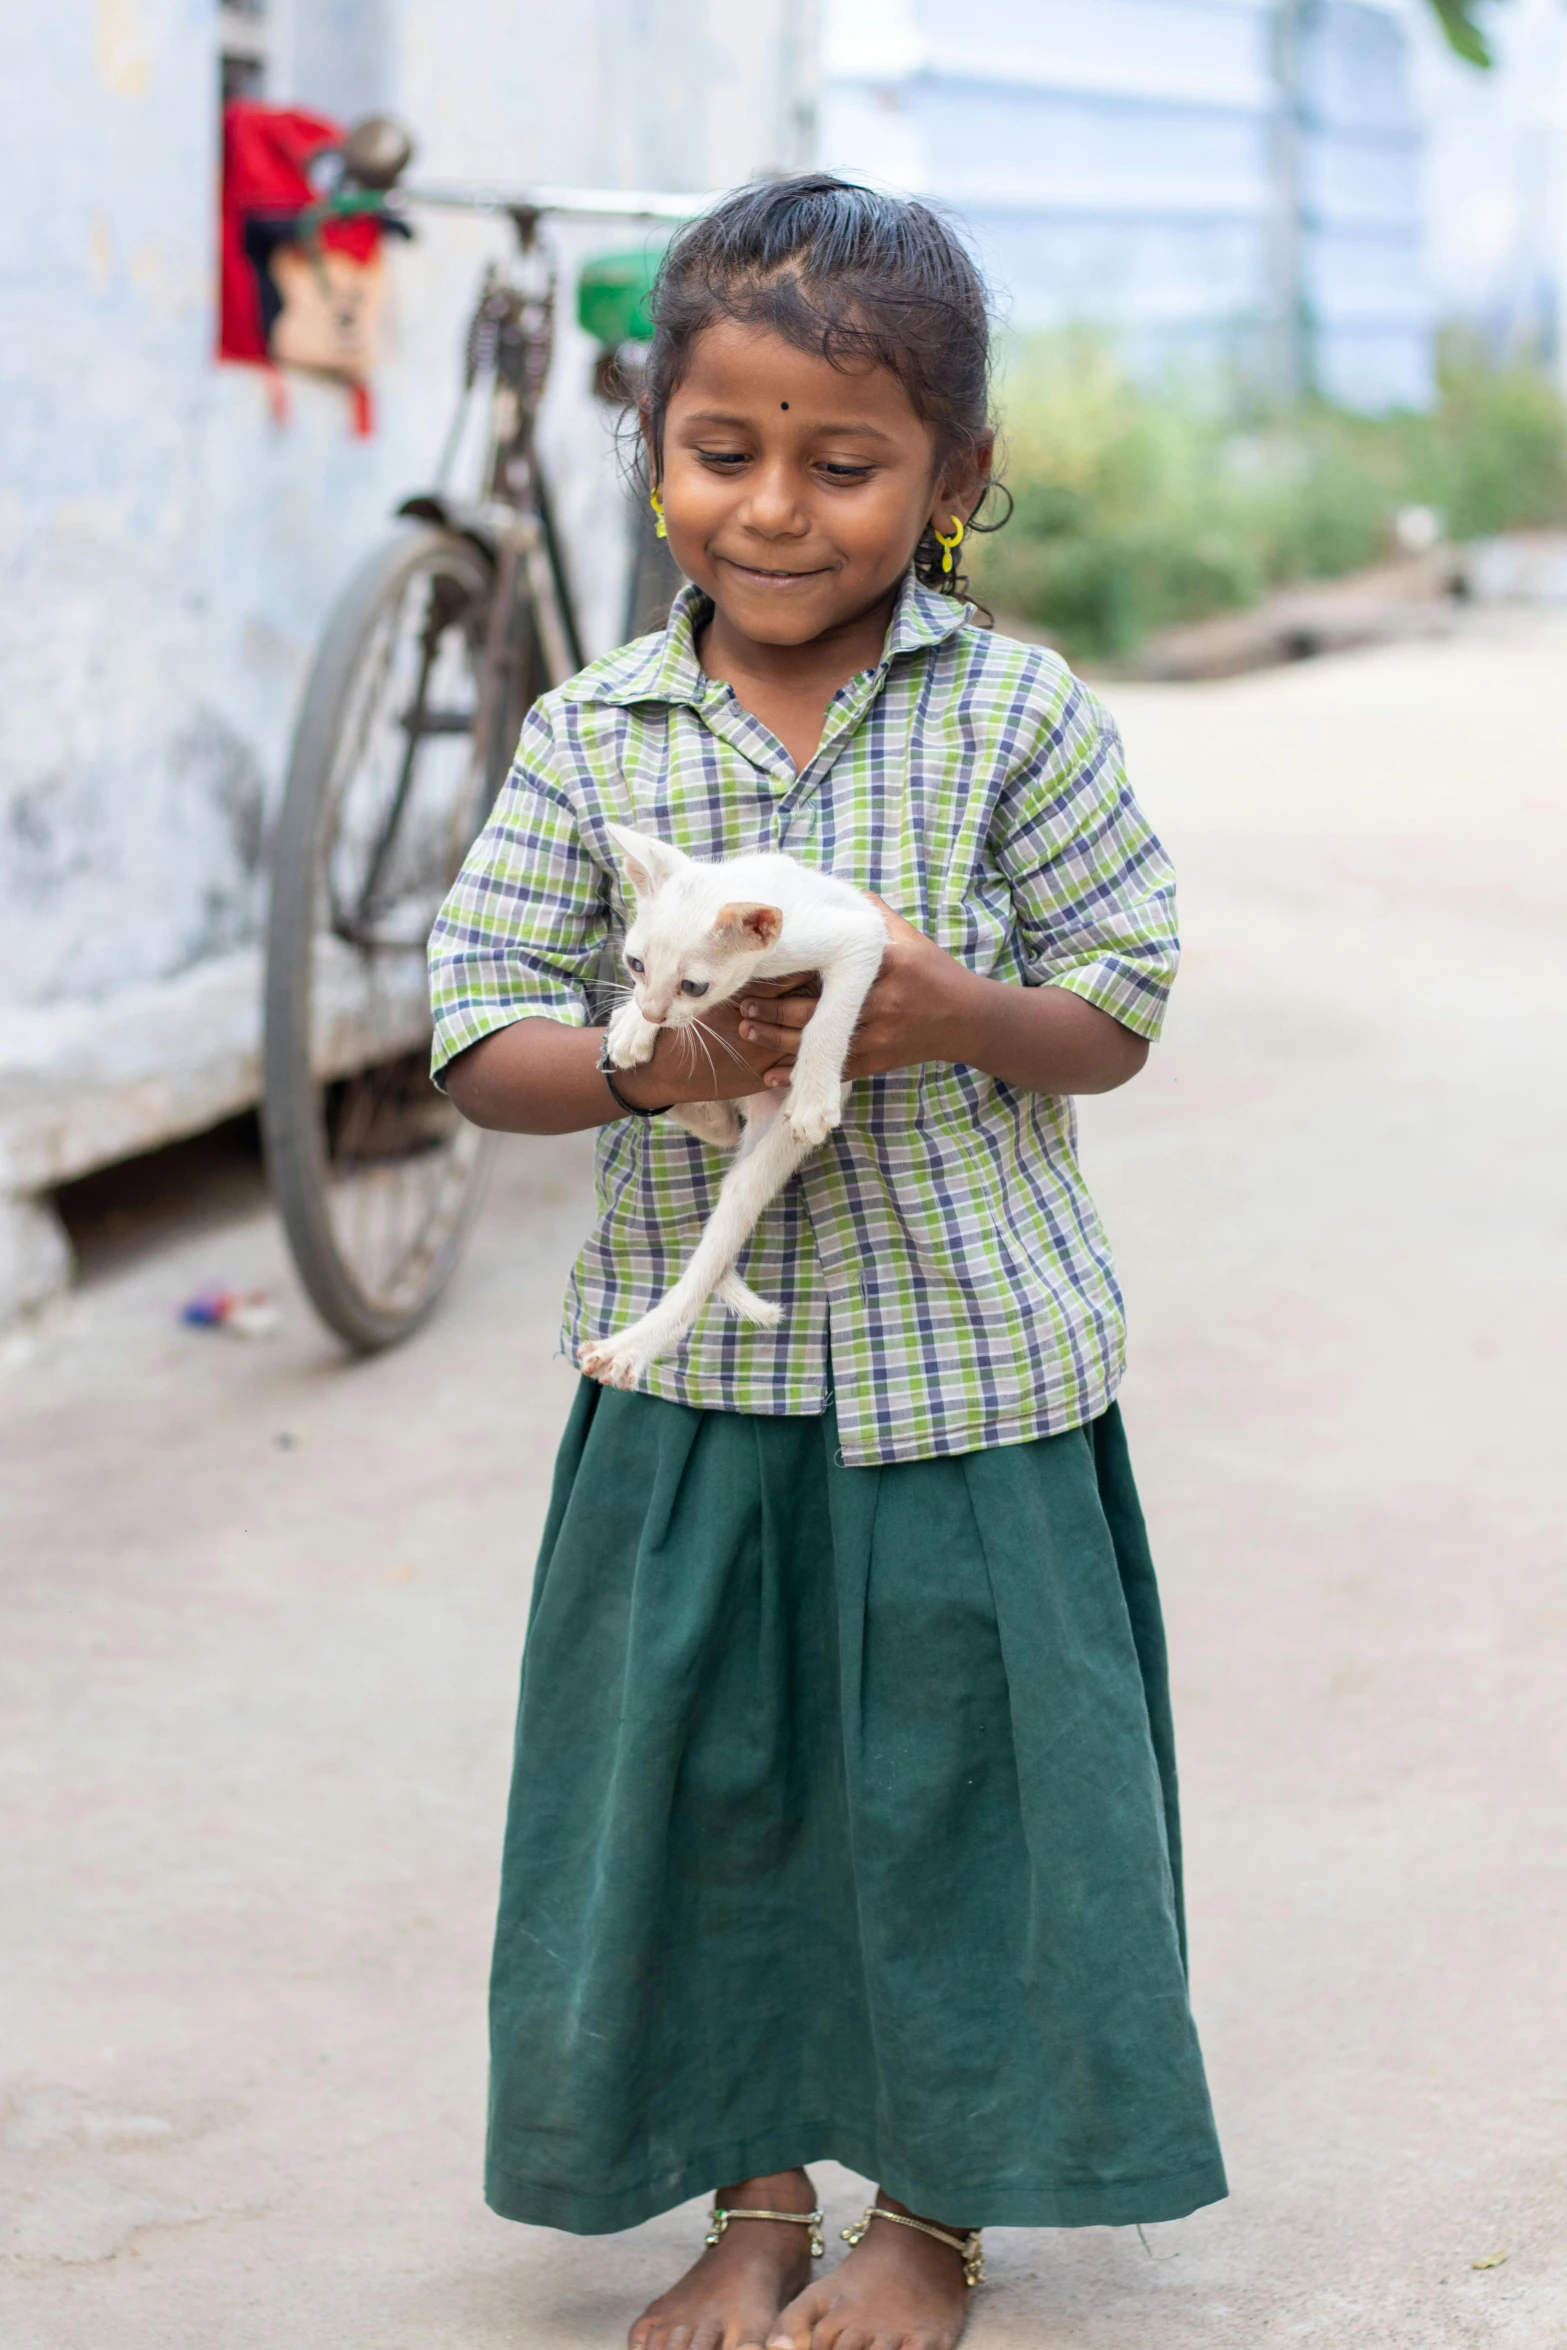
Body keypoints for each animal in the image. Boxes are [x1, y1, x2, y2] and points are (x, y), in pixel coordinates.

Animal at [582, 822, 888, 1381]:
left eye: (693, 985)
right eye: (636, 964)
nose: (654, 1014)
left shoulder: (860, 931)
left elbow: (831, 1013)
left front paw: (813, 1092)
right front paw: (631, 1024)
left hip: (766, 1154)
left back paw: (628, 1350)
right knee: (722, 1130)